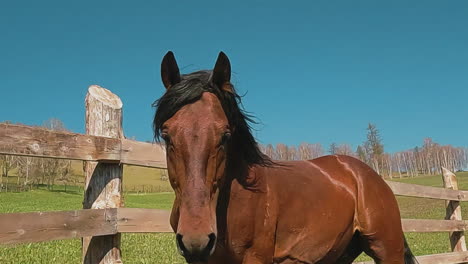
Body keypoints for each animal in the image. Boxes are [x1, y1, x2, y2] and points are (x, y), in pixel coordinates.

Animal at [153, 51, 416, 264]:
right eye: (167, 135)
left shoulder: (256, 256)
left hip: (388, 251)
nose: (195, 240)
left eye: (225, 135)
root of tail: (365, 173)